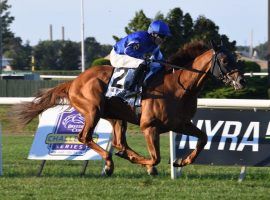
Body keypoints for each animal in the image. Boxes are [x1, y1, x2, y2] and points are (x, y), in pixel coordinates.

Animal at [15, 40, 247, 175]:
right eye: (225, 59)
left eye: (235, 58)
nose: (241, 81)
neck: (179, 87)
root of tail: (74, 82)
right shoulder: (149, 126)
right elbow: (156, 157)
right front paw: (149, 165)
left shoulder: (181, 123)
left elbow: (203, 138)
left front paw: (182, 161)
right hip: (93, 110)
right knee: (85, 137)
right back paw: (110, 162)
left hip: (116, 116)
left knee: (119, 142)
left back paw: (121, 158)